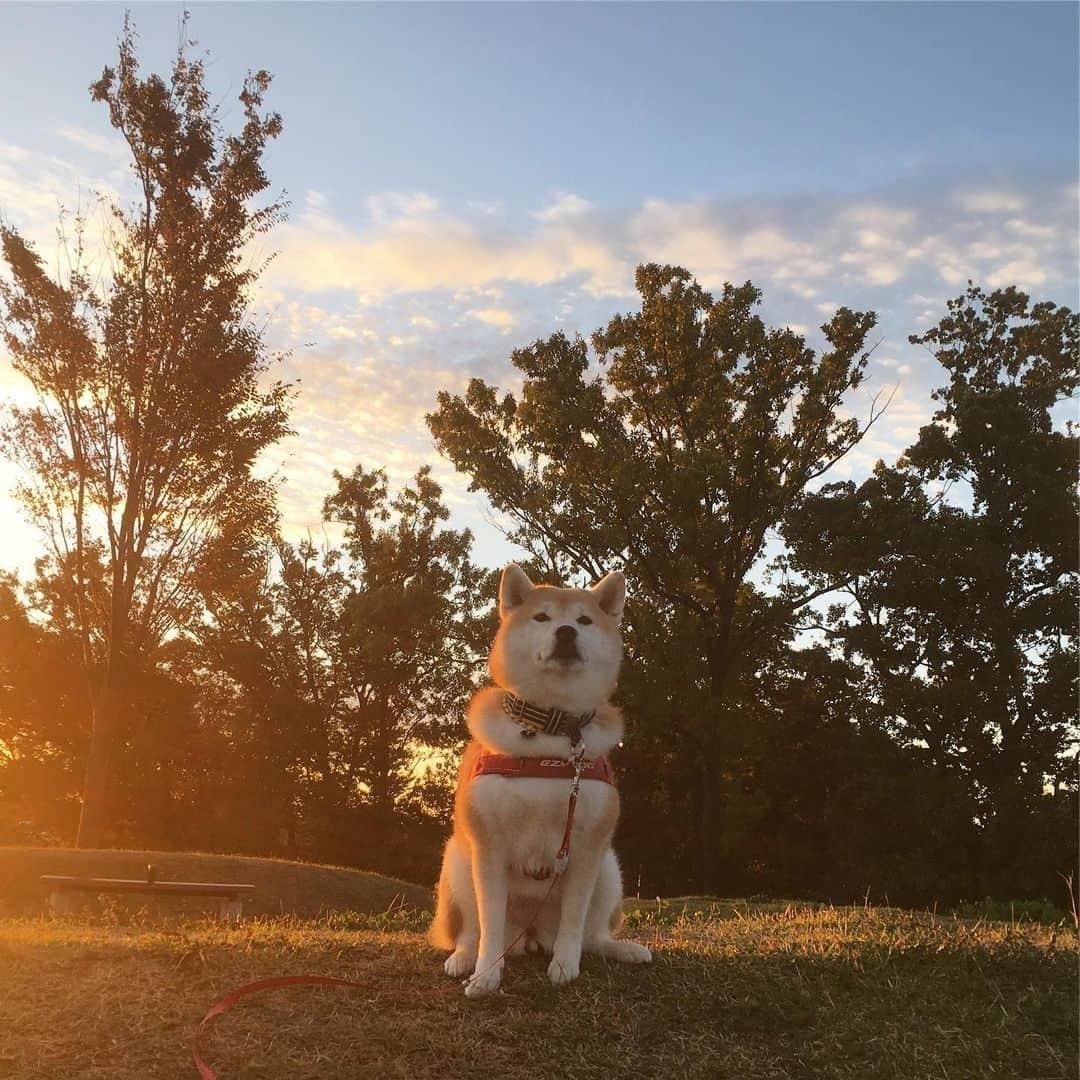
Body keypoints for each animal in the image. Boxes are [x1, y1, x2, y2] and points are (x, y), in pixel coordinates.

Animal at [427, 565, 648, 993]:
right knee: (471, 930)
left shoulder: (587, 847)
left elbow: (575, 920)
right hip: (457, 862)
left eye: (584, 620)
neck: (551, 731)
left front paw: (565, 964)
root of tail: (529, 935)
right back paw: (464, 958)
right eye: (542, 617)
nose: (565, 632)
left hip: (608, 870)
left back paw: (621, 949)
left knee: (593, 935)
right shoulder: (489, 845)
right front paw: (486, 974)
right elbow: (490, 922)